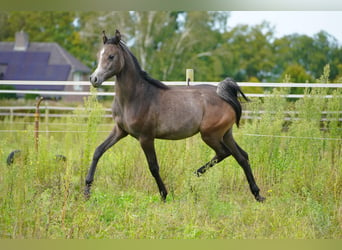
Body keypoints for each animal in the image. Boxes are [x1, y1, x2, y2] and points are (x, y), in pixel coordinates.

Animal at [85, 29, 264, 202]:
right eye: (99, 55)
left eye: (111, 56)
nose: (94, 79)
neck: (136, 97)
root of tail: (224, 95)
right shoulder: (120, 131)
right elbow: (98, 151)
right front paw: (86, 191)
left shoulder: (146, 137)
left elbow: (153, 166)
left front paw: (164, 195)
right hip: (225, 134)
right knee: (242, 156)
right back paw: (258, 195)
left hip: (210, 135)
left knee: (223, 153)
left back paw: (190, 182)